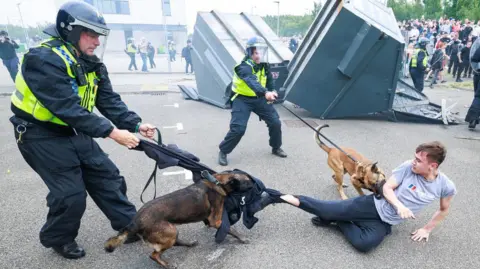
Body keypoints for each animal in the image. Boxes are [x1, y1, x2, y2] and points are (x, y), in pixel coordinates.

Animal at [104, 171, 253, 266]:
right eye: (247, 182)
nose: (254, 183)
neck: (217, 182)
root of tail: (134, 222)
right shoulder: (216, 220)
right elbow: (230, 229)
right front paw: (242, 238)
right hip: (170, 231)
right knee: (154, 255)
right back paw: (167, 264)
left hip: (170, 232)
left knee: (173, 242)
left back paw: (189, 244)